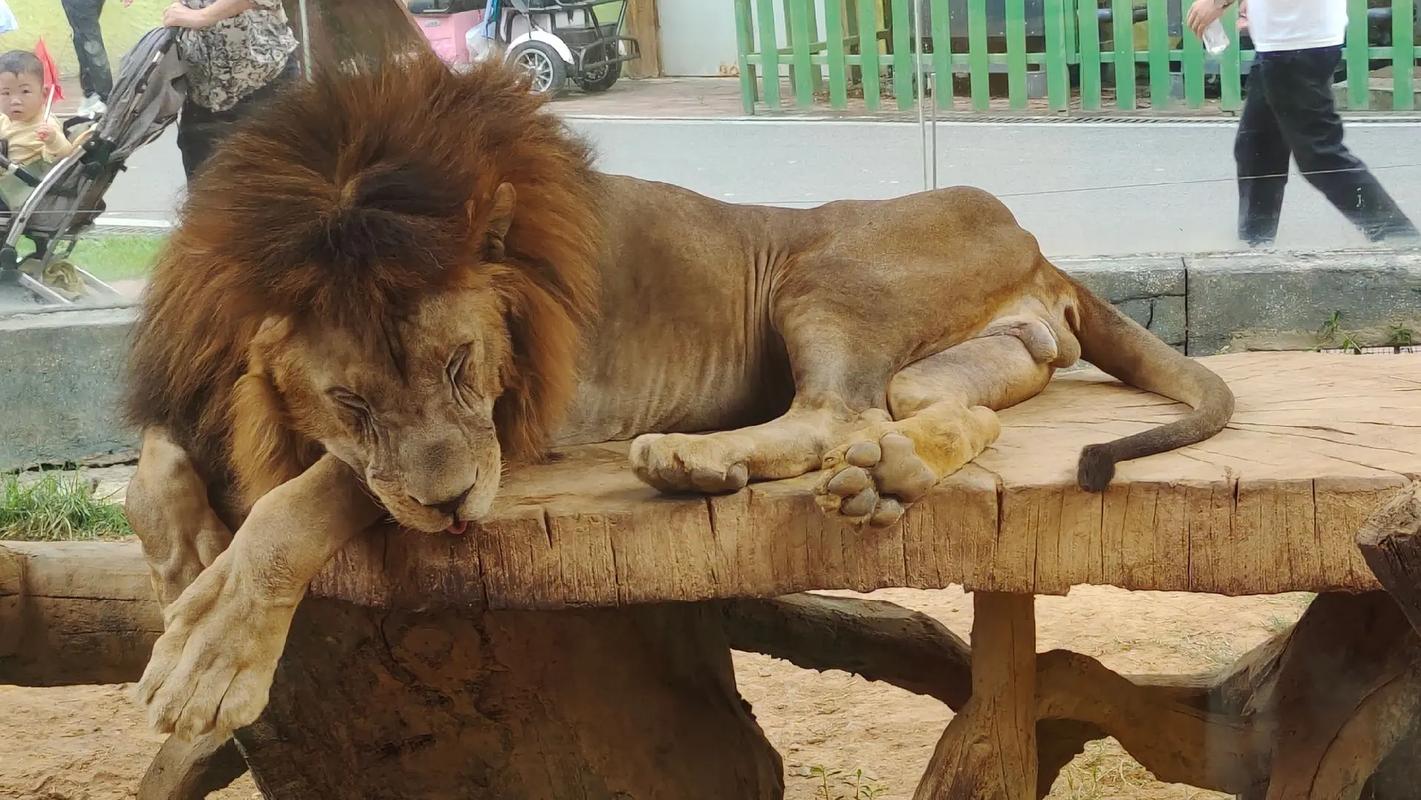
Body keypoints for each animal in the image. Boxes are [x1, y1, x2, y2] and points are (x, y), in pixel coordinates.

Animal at [123, 52, 1233, 740]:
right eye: (349, 401)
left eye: (460, 366)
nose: (454, 508)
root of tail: (1039, 246)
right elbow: (156, 468)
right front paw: (182, 562)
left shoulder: (515, 430)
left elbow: (305, 499)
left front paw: (207, 655)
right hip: (943, 359)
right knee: (938, 412)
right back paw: (886, 473)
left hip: (817, 268)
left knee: (832, 412)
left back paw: (700, 459)